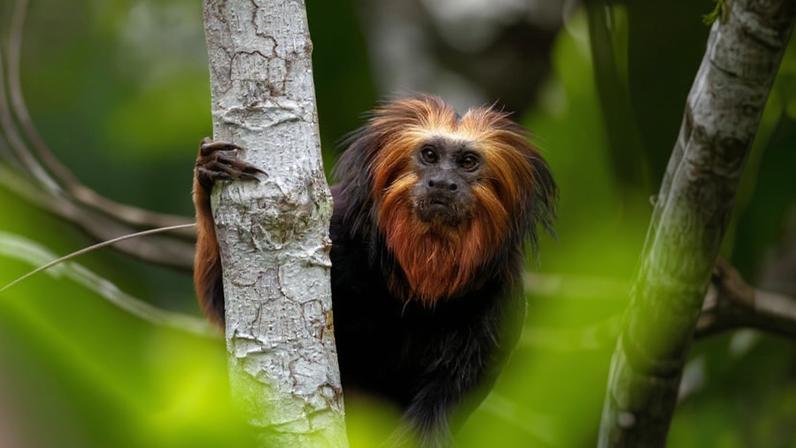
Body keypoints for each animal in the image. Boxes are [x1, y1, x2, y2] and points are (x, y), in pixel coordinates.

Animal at [193, 95, 556, 447]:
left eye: (468, 162)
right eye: (429, 155)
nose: (442, 183)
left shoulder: (501, 299)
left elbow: (446, 399)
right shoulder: (338, 229)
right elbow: (225, 303)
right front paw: (208, 177)